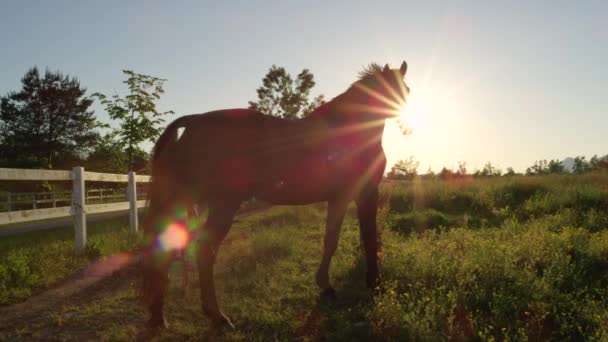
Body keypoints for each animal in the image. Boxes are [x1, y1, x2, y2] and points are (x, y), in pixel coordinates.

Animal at [140, 60, 410, 328]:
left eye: (405, 88)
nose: (406, 123)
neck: (349, 129)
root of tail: (193, 121)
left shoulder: (338, 198)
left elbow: (331, 241)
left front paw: (326, 285)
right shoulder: (365, 193)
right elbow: (370, 239)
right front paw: (375, 284)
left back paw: (159, 316)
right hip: (223, 203)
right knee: (205, 250)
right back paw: (217, 316)